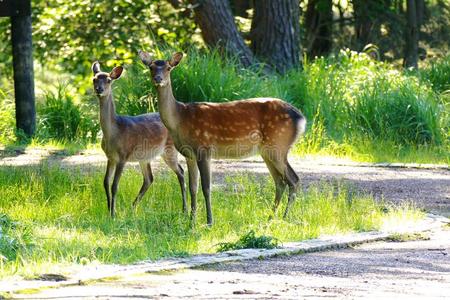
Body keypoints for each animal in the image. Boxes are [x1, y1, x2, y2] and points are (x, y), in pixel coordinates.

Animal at [92, 62, 186, 217]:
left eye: (109, 80)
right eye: (94, 79)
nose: (99, 89)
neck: (114, 133)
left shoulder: (123, 155)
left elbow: (114, 185)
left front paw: (113, 214)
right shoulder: (110, 157)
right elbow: (105, 182)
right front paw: (109, 210)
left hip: (169, 149)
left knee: (181, 172)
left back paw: (185, 209)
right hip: (145, 157)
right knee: (149, 178)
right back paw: (132, 208)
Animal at [137, 51, 306, 225]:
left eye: (168, 68)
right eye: (151, 67)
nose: (158, 79)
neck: (180, 119)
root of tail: (301, 118)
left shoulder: (204, 148)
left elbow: (206, 187)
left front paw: (209, 221)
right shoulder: (189, 154)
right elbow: (193, 187)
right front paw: (192, 221)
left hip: (279, 144)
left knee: (294, 179)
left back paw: (284, 218)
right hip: (267, 151)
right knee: (280, 181)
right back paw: (269, 219)